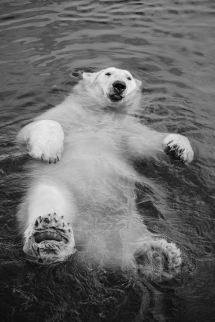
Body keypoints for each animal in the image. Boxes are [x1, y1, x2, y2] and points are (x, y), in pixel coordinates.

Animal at [16, 67, 194, 280]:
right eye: (108, 73)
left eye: (128, 77)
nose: (119, 85)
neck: (102, 114)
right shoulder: (66, 115)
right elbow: (37, 126)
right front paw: (49, 151)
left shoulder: (125, 132)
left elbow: (146, 142)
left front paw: (179, 148)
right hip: (55, 187)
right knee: (48, 197)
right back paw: (50, 236)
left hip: (129, 221)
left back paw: (158, 256)